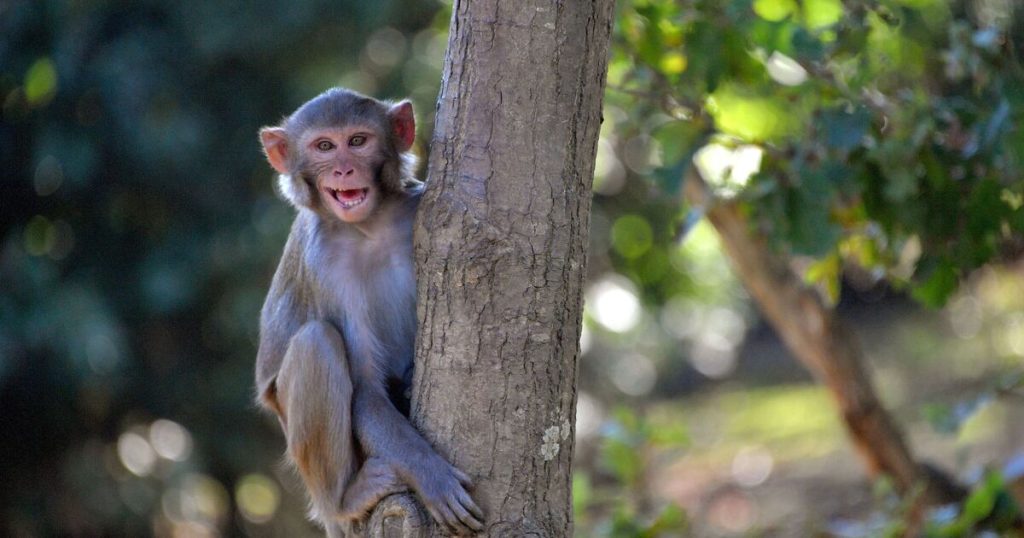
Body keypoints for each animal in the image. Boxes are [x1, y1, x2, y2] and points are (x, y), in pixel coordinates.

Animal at [255, 88, 484, 537]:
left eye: (358, 141)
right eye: (324, 147)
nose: (344, 169)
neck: (370, 225)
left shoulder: (417, 206)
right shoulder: (323, 264)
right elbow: (363, 386)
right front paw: (432, 475)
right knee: (316, 342)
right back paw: (345, 498)